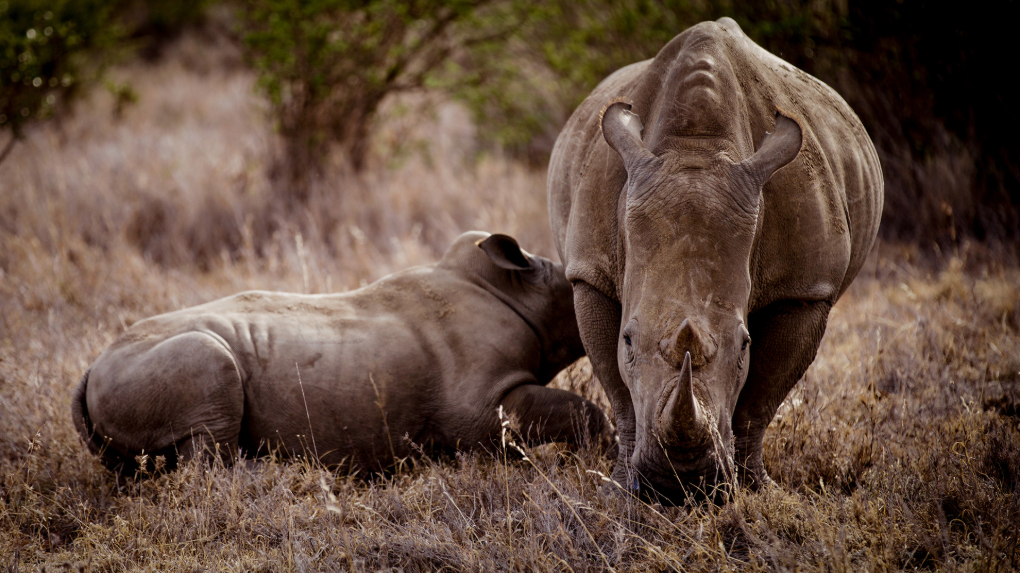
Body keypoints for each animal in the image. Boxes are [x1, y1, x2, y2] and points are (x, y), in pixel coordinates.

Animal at [72, 231, 610, 475]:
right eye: (578, 292)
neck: (520, 295)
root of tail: (92, 366)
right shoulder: (482, 403)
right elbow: (573, 411)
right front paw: (603, 457)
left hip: (123, 373)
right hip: (176, 360)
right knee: (210, 403)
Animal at [547, 18, 883, 499]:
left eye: (743, 344)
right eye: (628, 339)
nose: (678, 485)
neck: (696, 148)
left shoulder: (804, 289)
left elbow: (760, 397)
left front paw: (755, 489)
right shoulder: (589, 272)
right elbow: (617, 388)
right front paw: (619, 488)